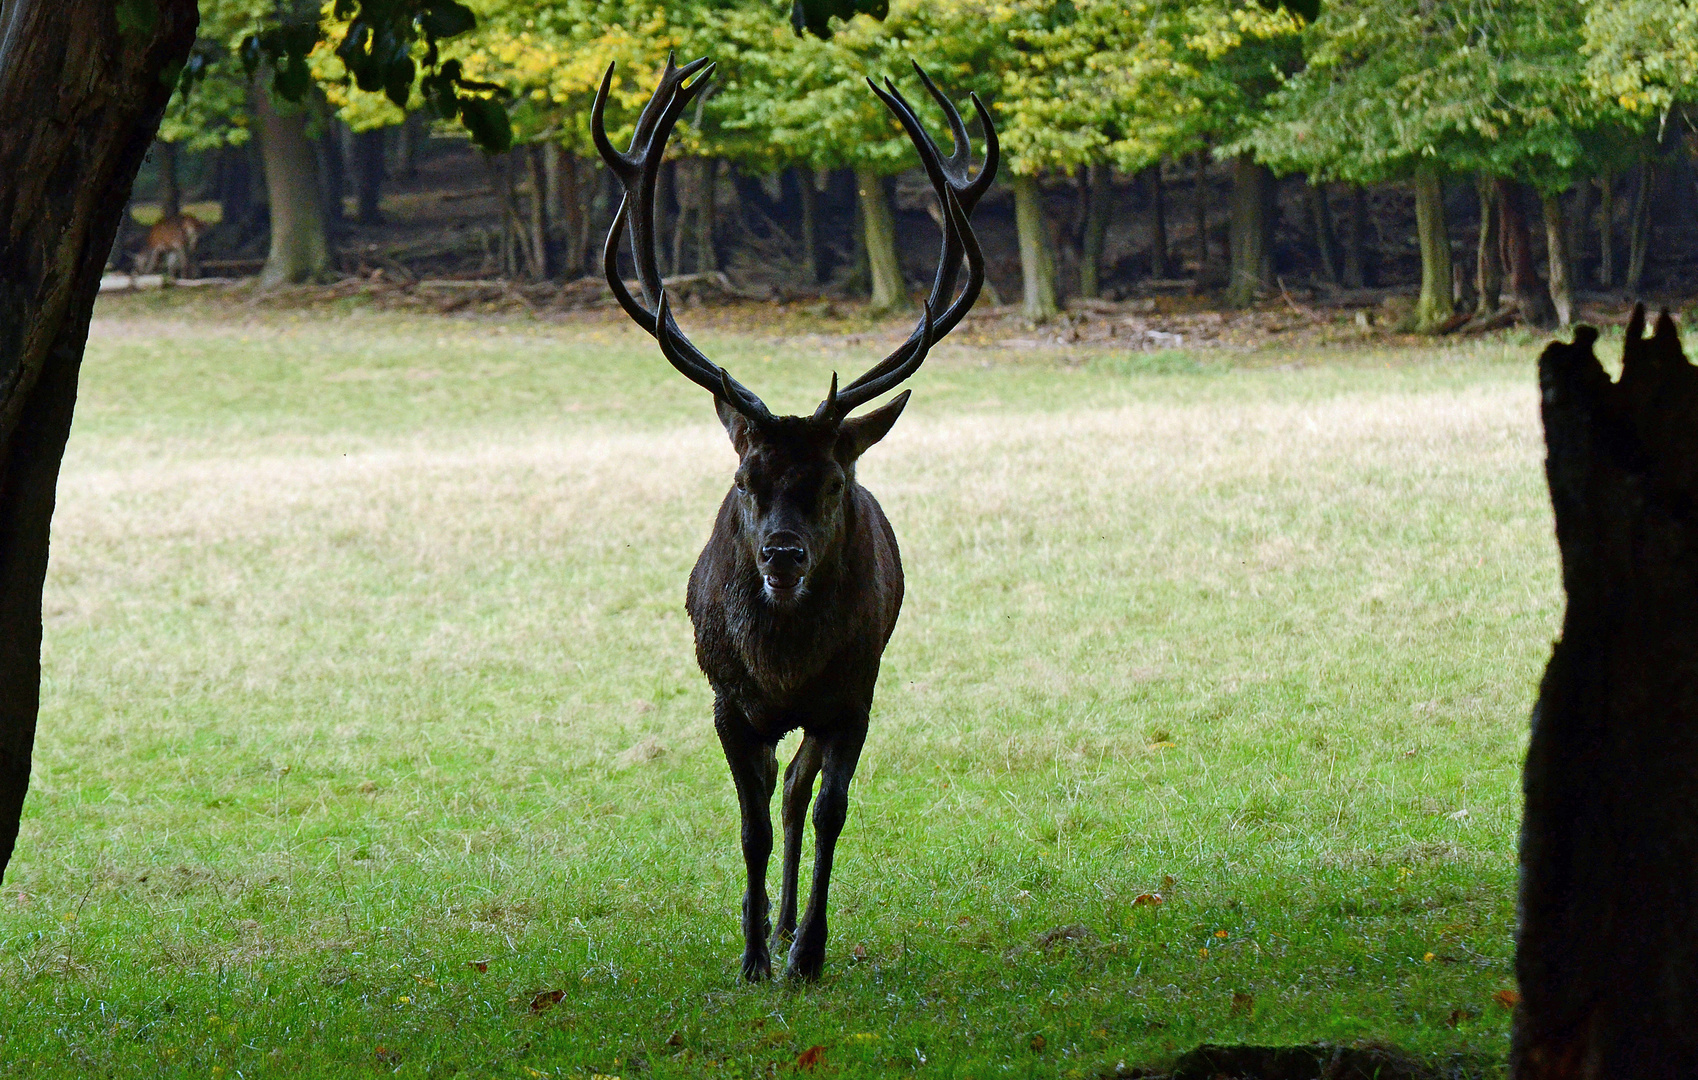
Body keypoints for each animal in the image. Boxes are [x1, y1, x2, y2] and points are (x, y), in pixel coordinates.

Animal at [597, 61, 991, 984]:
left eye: (832, 482)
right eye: (746, 478)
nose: (781, 557)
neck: (780, 667)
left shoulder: (854, 695)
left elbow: (828, 811)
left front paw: (807, 950)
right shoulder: (726, 702)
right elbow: (748, 827)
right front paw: (748, 956)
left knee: (797, 788)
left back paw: (788, 928)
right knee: (778, 790)